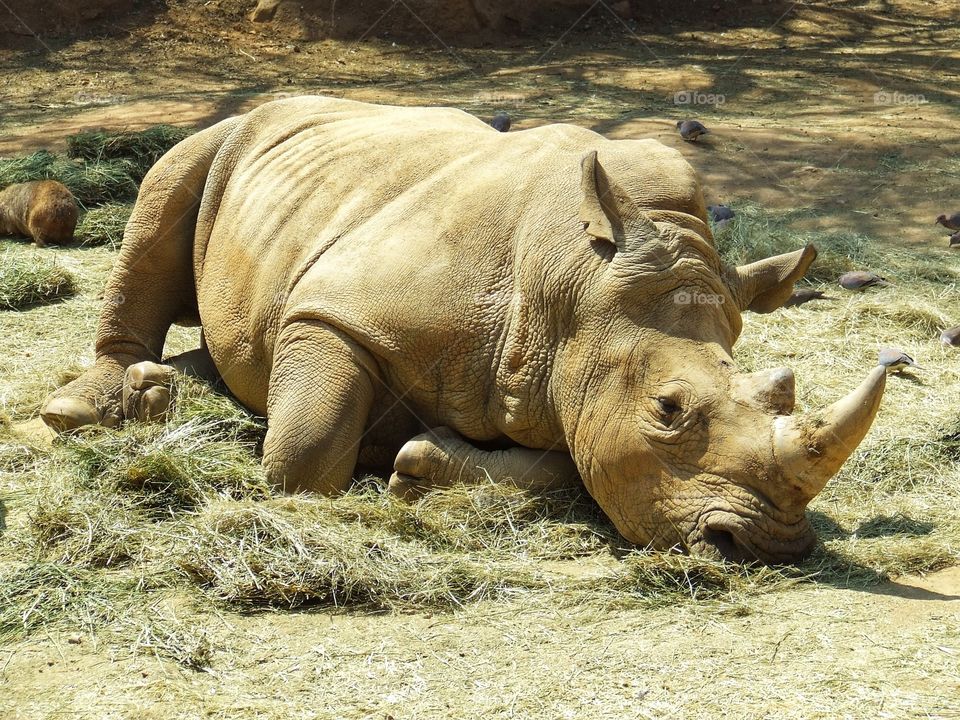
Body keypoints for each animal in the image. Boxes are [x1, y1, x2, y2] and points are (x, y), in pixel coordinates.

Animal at [41, 96, 886, 564]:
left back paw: (167, 395)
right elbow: (306, 450)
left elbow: (567, 467)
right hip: (226, 134)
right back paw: (98, 407)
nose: (767, 547)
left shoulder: (565, 388)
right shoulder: (332, 311)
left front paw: (416, 467)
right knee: (168, 181)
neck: (571, 289)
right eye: (669, 411)